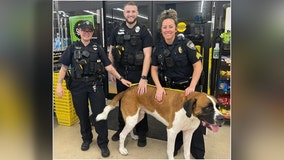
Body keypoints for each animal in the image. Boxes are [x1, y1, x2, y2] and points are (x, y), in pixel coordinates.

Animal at [96, 84, 225, 159]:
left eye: (218, 106)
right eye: (207, 108)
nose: (222, 118)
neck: (190, 115)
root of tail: (128, 89)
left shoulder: (188, 133)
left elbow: (187, 152)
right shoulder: (171, 132)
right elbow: (171, 150)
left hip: (137, 117)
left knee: (128, 129)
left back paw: (132, 136)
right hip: (132, 118)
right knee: (122, 134)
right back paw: (122, 150)